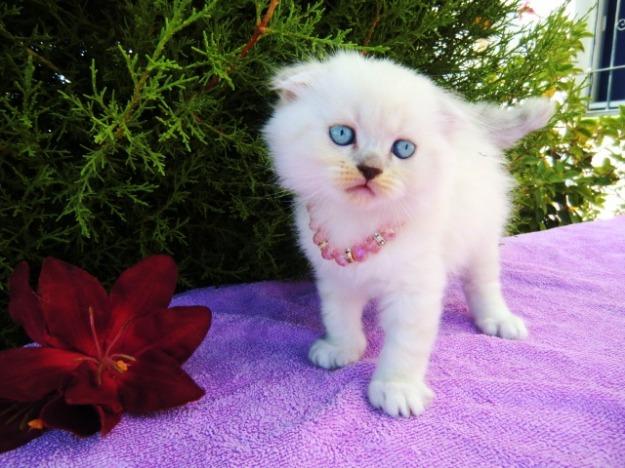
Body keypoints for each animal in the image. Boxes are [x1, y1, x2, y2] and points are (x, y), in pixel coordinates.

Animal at [260, 51, 552, 416]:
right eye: (341, 134)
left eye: (403, 149)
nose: (370, 169)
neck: (359, 221)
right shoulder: (334, 277)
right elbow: (338, 316)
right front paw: (343, 349)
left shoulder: (416, 288)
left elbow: (406, 344)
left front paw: (396, 388)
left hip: (480, 238)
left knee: (483, 283)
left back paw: (497, 320)